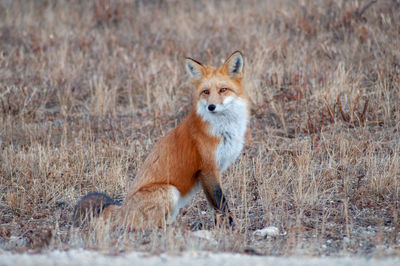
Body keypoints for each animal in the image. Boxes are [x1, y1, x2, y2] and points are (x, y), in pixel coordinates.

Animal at [71, 51, 247, 230]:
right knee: (151, 226)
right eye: (206, 92)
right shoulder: (208, 169)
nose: (211, 107)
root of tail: (122, 208)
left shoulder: (214, 170)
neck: (223, 129)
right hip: (170, 191)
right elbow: (221, 204)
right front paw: (230, 227)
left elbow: (215, 207)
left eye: (223, 90)